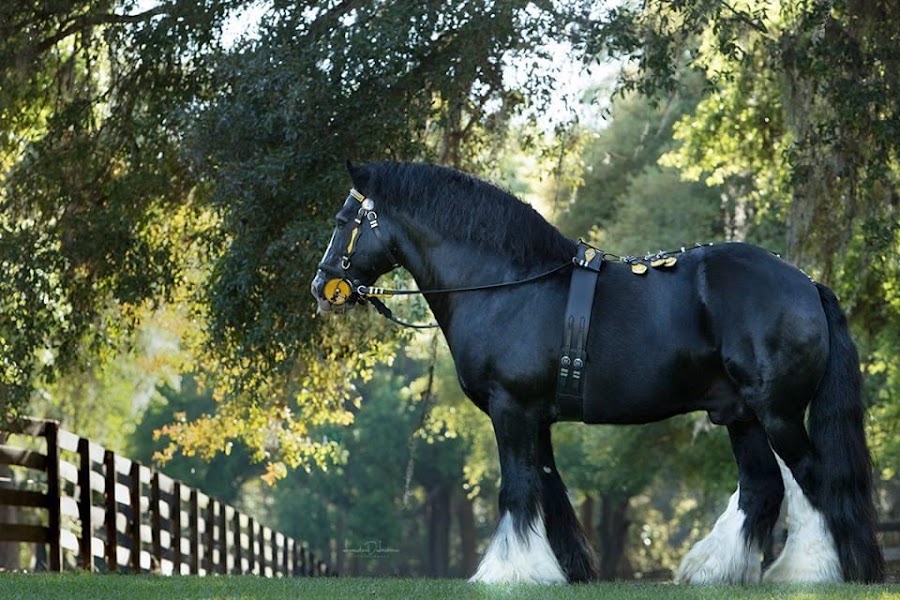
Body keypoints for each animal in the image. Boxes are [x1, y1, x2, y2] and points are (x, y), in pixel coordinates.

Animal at [310, 160, 884, 584]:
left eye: (342, 222)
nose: (322, 286)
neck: (509, 284)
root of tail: (806, 283)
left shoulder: (511, 409)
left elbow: (516, 489)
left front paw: (506, 574)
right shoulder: (535, 417)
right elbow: (548, 491)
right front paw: (563, 570)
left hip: (777, 411)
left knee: (813, 480)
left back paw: (808, 573)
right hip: (740, 414)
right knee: (762, 485)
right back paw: (713, 571)